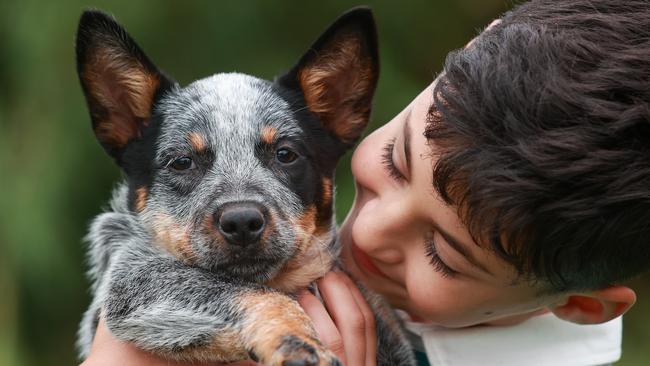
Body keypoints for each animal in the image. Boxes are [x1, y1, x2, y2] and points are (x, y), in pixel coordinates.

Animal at [73, 8, 412, 366]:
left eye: (285, 154)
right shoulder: (132, 280)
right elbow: (242, 291)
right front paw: (295, 341)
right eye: (182, 162)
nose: (242, 221)